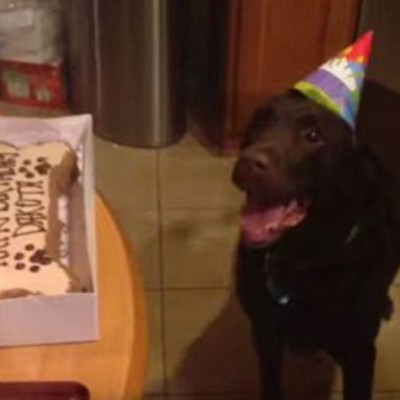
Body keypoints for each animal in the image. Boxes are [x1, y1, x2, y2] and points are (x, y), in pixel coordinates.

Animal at [231, 90, 400, 400]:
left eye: (312, 136)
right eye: (258, 122)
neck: (300, 262)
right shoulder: (265, 334)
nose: (247, 162)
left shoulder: (360, 354)